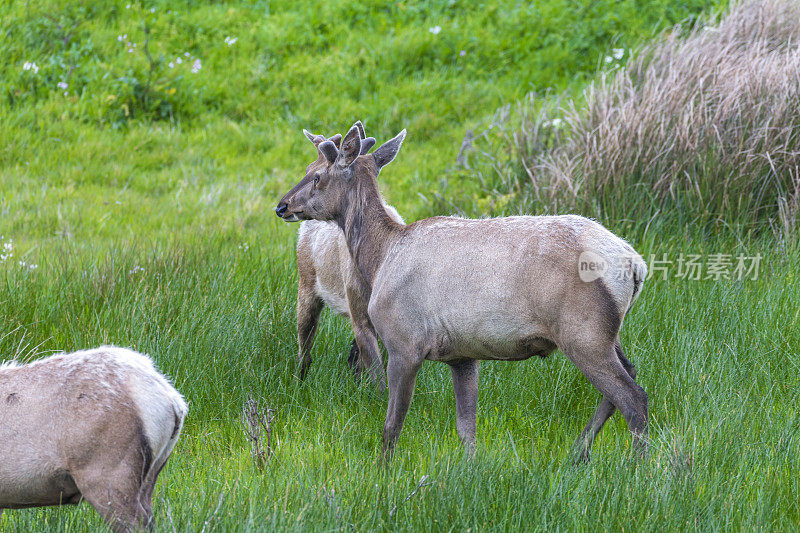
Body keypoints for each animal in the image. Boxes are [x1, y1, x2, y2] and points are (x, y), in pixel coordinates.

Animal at [282, 122, 406, 388]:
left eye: (316, 176)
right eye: (306, 169)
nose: (282, 205)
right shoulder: (357, 306)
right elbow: (378, 376)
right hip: (305, 282)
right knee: (305, 349)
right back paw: (298, 385)